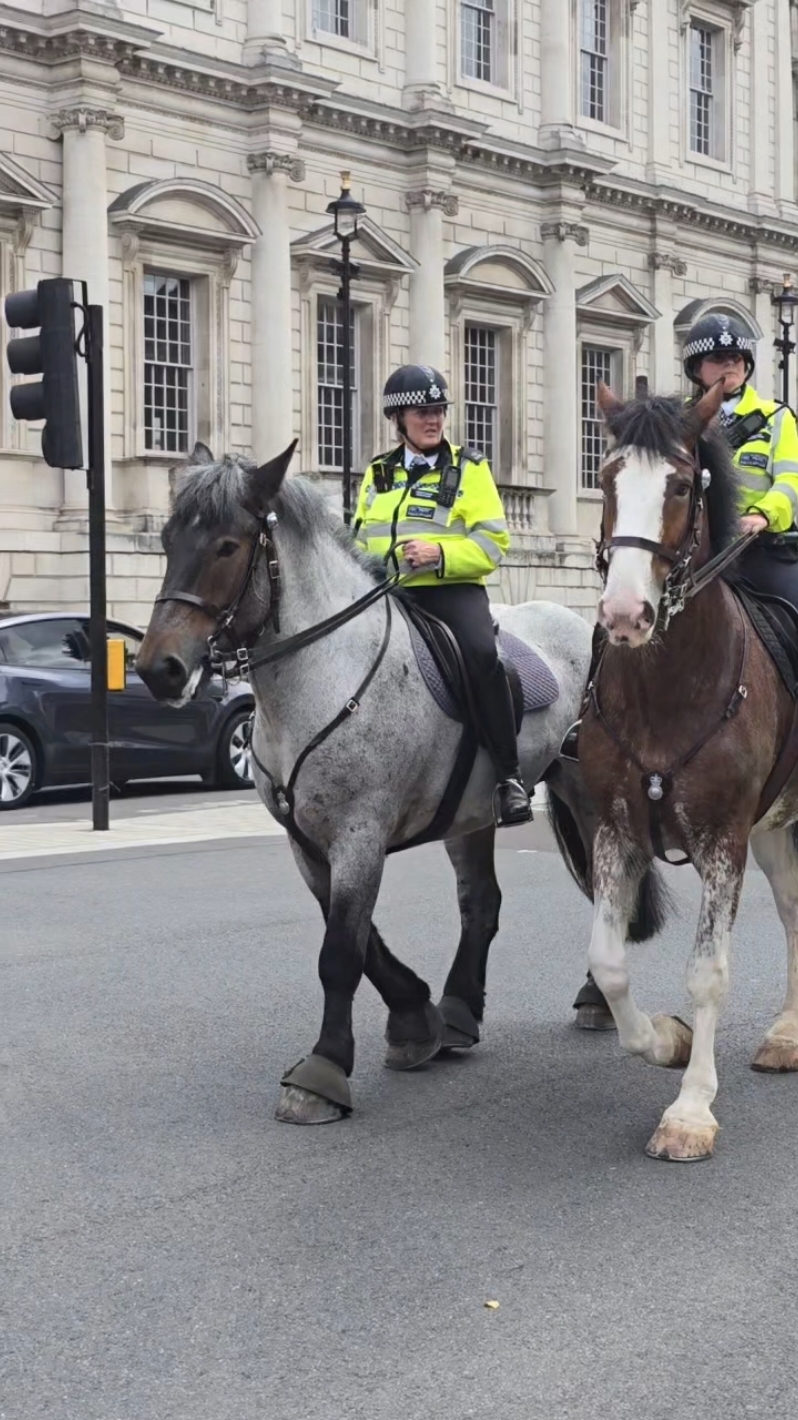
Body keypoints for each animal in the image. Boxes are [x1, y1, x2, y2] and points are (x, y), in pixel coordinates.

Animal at [138, 443, 664, 1118]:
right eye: (169, 539)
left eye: (228, 546)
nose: (159, 668)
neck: (327, 671)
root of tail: (576, 621)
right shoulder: (308, 843)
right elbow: (362, 942)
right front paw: (415, 1018)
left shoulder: (359, 835)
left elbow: (341, 952)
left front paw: (324, 1070)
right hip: (473, 813)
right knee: (481, 903)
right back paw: (460, 1011)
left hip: (586, 795)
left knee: (606, 893)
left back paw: (596, 995)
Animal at [573, 380, 795, 1164]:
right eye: (606, 475)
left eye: (677, 484)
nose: (623, 613)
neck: (666, 687)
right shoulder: (618, 831)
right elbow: (609, 963)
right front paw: (665, 1040)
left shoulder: (723, 841)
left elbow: (708, 973)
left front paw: (692, 1109)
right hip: (774, 829)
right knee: (793, 909)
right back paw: (787, 1033)